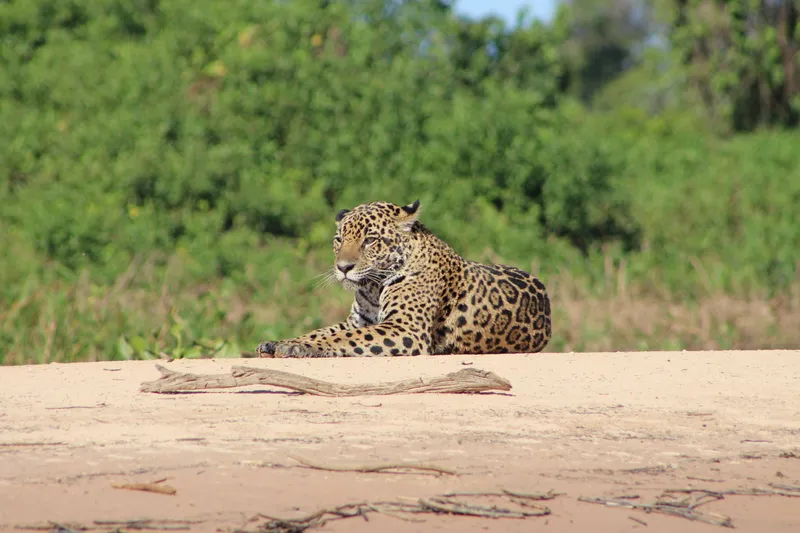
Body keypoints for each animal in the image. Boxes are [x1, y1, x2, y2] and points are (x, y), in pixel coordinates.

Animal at [256, 200, 552, 358]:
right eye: (339, 239)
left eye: (370, 240)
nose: (343, 267)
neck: (372, 287)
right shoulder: (358, 321)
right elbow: (322, 331)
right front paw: (281, 342)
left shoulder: (405, 328)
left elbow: (340, 339)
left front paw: (297, 347)